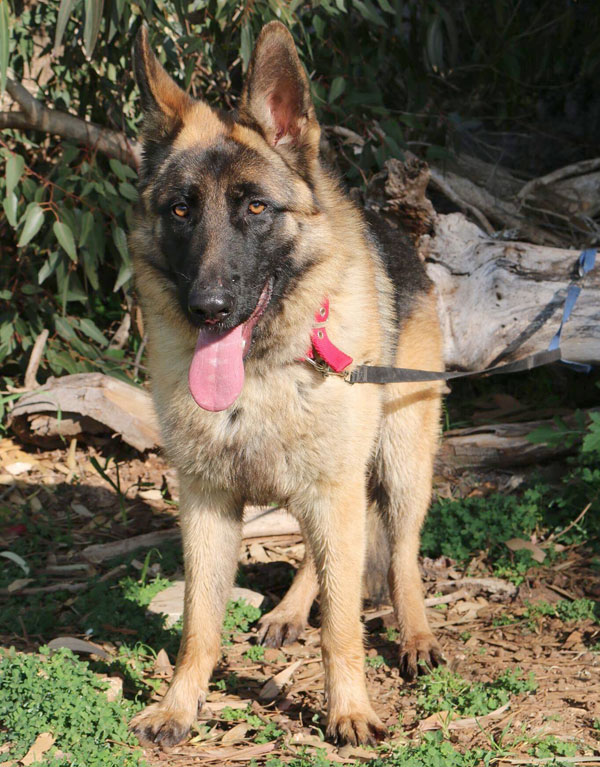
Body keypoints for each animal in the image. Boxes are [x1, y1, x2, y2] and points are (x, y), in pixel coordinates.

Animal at [129, 22, 442, 744]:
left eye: (255, 206)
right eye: (180, 210)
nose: (209, 308)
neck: (259, 376)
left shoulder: (334, 487)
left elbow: (345, 624)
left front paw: (349, 708)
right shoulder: (208, 502)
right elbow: (199, 624)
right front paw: (179, 705)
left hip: (398, 462)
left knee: (402, 553)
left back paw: (415, 636)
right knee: (320, 559)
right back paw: (291, 610)